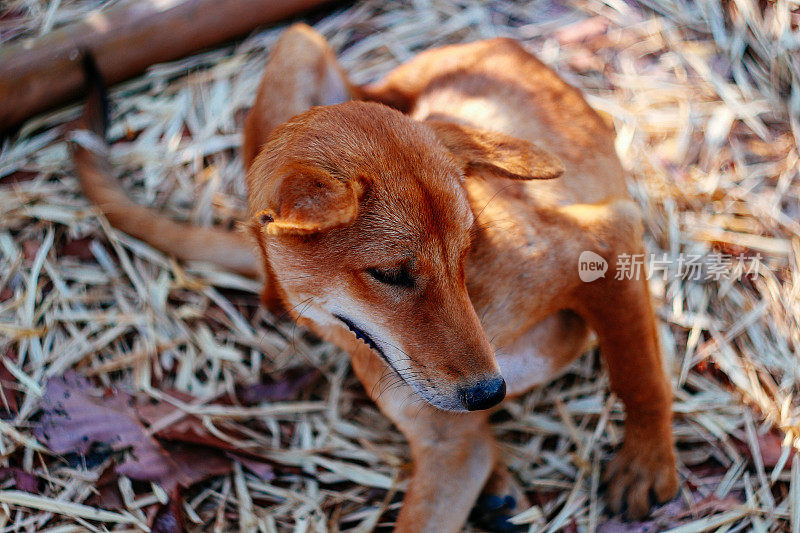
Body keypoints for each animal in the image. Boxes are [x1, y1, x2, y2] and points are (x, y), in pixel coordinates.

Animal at [72, 23, 680, 532]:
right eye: (389, 273)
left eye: (465, 251)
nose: (490, 392)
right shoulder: (448, 445)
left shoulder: (605, 240)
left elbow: (637, 374)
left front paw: (647, 463)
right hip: (295, 49)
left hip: (302, 42)